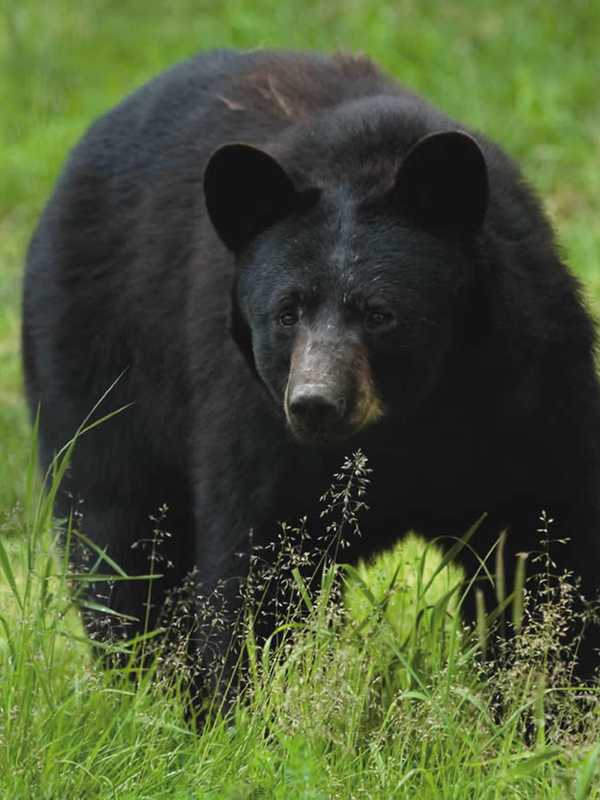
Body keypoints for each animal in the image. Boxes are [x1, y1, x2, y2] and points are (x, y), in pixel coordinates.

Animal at [22, 47, 600, 692]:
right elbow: (259, 566)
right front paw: (237, 700)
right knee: (117, 535)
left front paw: (546, 697)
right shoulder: (257, 420)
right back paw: (145, 679)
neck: (410, 419)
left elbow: (542, 552)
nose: (316, 403)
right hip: (99, 360)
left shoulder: (527, 386)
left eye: (380, 312)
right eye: (286, 312)